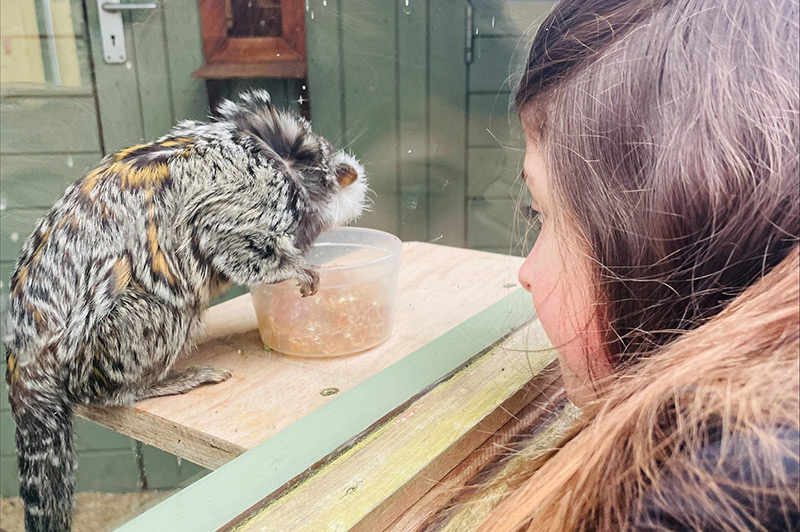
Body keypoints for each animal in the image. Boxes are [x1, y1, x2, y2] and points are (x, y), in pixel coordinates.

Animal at [4, 91, 368, 532]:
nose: (355, 176)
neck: (282, 157)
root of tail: (23, 354)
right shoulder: (256, 192)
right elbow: (224, 236)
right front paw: (294, 268)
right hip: (102, 341)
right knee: (166, 312)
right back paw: (143, 386)